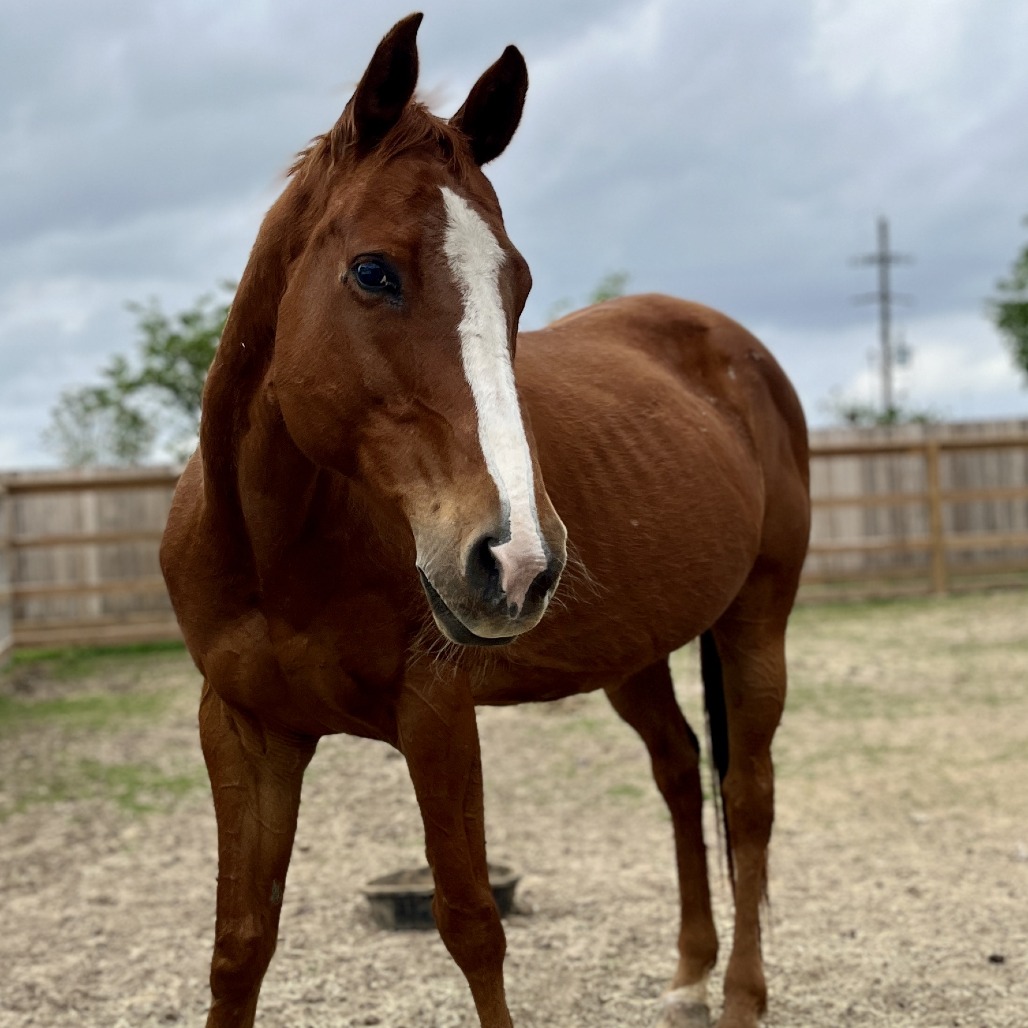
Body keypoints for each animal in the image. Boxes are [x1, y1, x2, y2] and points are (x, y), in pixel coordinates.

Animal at [160, 13, 810, 1028]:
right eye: (373, 272)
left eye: (520, 284)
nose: (517, 559)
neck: (277, 551)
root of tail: (737, 350)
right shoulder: (241, 730)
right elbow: (240, 947)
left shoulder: (436, 715)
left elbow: (471, 925)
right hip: (634, 653)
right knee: (677, 770)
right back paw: (689, 974)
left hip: (757, 619)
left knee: (746, 795)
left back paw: (741, 993)